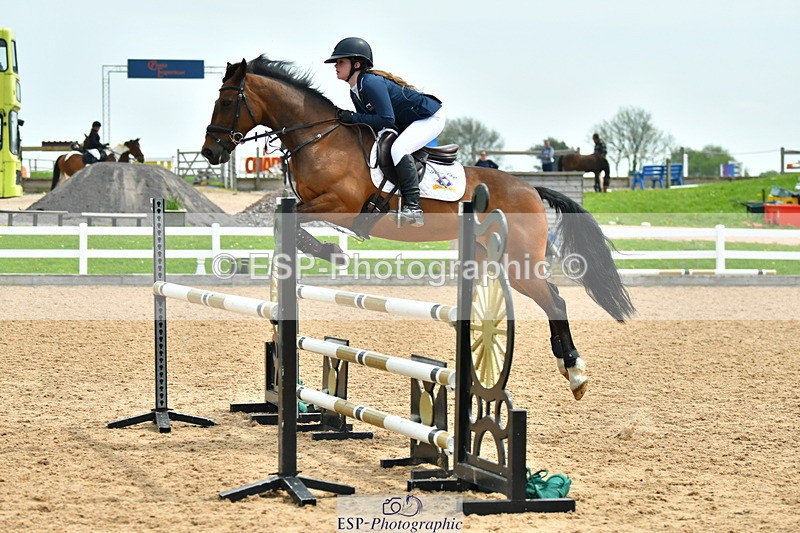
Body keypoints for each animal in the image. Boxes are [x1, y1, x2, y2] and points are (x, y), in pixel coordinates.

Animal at [201, 57, 635, 400]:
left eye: (227, 101)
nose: (210, 152)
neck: (319, 137)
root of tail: (530, 187)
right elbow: (284, 226)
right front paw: (331, 252)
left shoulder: (339, 206)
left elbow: (290, 225)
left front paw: (333, 252)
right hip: (488, 255)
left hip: (519, 263)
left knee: (556, 301)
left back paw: (575, 372)